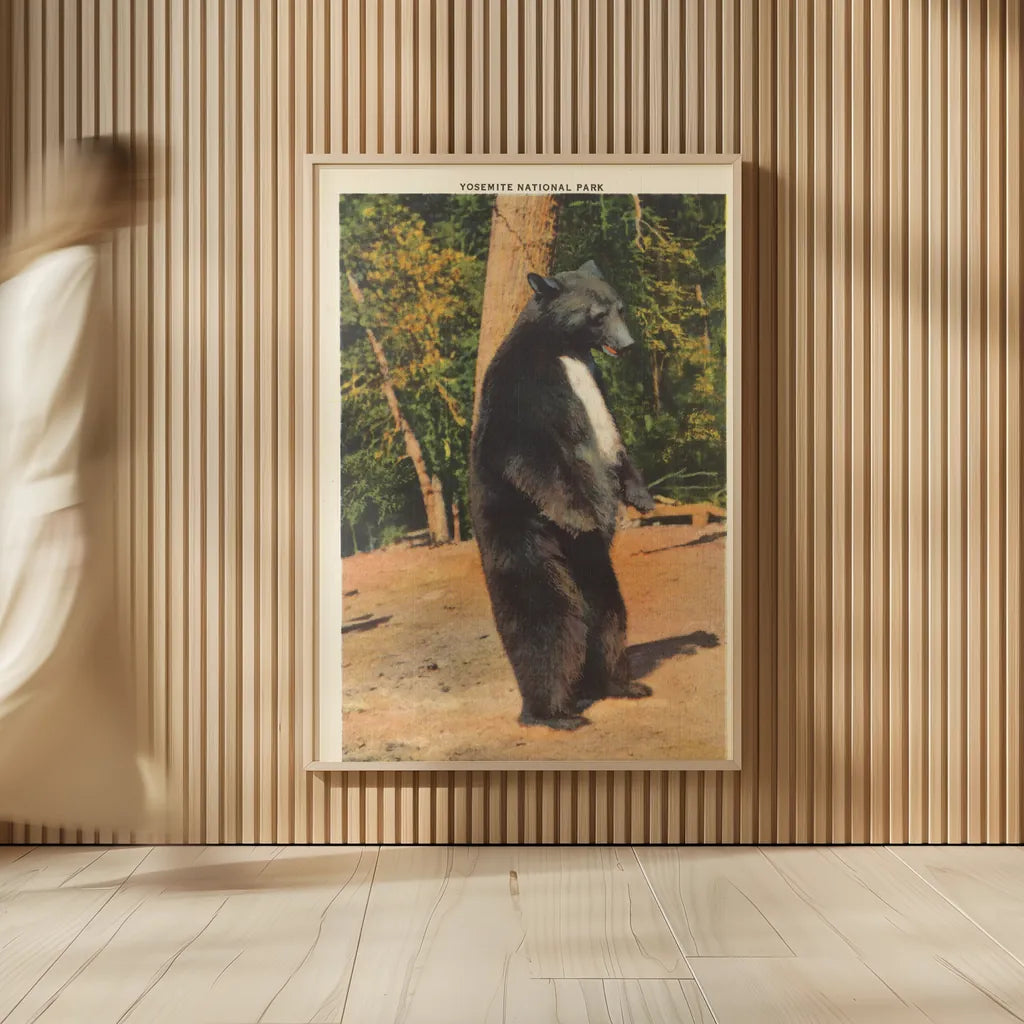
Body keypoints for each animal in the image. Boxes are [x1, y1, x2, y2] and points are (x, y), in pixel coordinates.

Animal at [470, 260, 655, 730]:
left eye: (621, 307)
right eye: (597, 315)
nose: (628, 345)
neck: (566, 350)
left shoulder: (594, 386)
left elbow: (616, 441)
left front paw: (642, 496)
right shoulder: (526, 386)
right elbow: (528, 451)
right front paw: (583, 515)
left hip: (594, 567)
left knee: (607, 613)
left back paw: (617, 685)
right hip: (526, 540)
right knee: (548, 620)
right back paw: (554, 712)